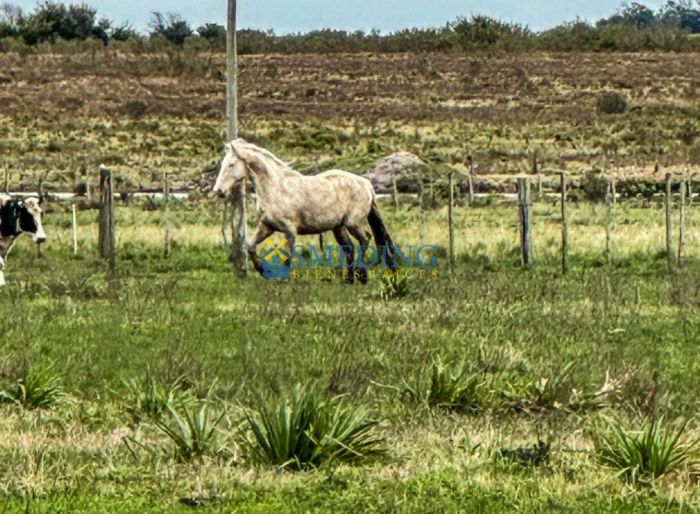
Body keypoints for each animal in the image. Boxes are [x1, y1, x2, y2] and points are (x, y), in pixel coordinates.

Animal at [213, 138, 394, 282]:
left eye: (231, 165)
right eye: (223, 164)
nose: (219, 191)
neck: (277, 188)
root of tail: (366, 184)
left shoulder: (290, 231)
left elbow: (286, 257)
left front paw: (283, 280)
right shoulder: (267, 226)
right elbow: (250, 246)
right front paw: (263, 270)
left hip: (352, 223)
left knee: (365, 239)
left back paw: (360, 274)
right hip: (338, 227)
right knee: (350, 246)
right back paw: (350, 280)